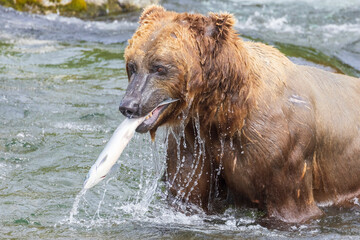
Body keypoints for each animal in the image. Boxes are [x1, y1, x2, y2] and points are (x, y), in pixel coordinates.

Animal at [119, 5, 360, 223]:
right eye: (132, 65)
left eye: (159, 67)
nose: (129, 105)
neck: (227, 113)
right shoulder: (193, 141)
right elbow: (187, 195)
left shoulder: (285, 153)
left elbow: (291, 209)